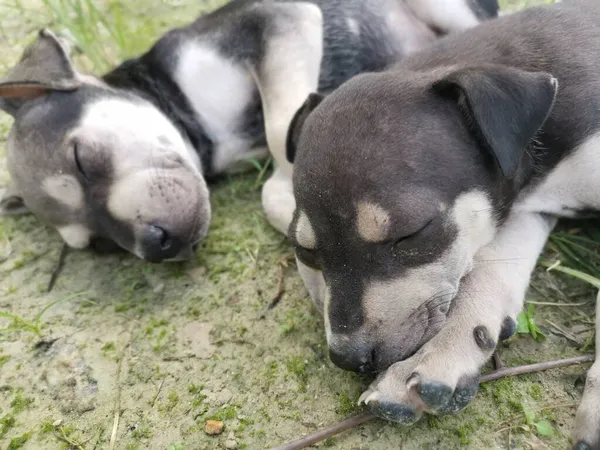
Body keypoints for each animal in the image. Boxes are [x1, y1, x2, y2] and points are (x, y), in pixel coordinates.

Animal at [284, 0, 600, 446]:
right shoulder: (527, 207)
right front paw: (433, 359)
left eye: (411, 233)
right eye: (305, 251)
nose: (349, 357)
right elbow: (486, 272)